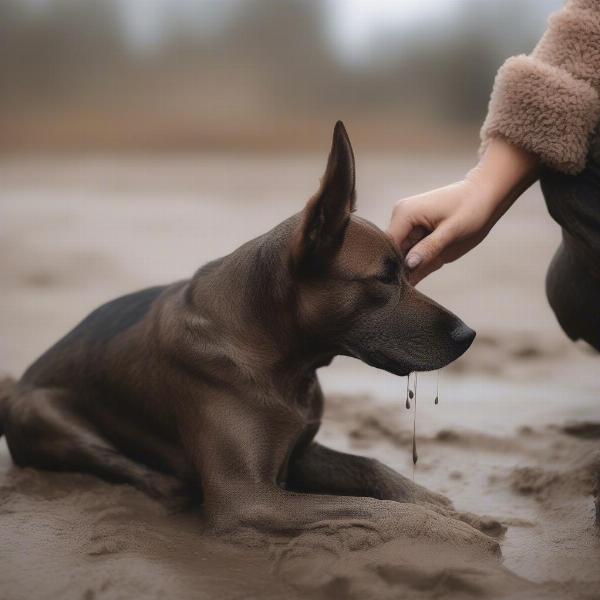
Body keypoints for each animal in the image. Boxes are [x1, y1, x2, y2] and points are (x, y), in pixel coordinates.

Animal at [0, 122, 478, 540]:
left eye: (408, 273)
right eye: (384, 278)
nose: (468, 335)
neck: (283, 360)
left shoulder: (299, 453)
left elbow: (372, 468)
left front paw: (435, 503)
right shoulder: (248, 497)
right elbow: (374, 508)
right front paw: (449, 529)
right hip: (44, 413)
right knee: (133, 471)